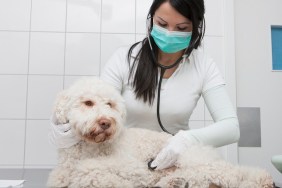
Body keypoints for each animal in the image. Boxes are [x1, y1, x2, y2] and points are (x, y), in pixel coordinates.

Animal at [48, 77, 274, 187]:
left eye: (110, 104)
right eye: (88, 102)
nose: (106, 123)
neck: (88, 148)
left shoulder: (131, 167)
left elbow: (88, 170)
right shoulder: (61, 174)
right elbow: (62, 178)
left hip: (190, 157)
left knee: (229, 173)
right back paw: (174, 182)